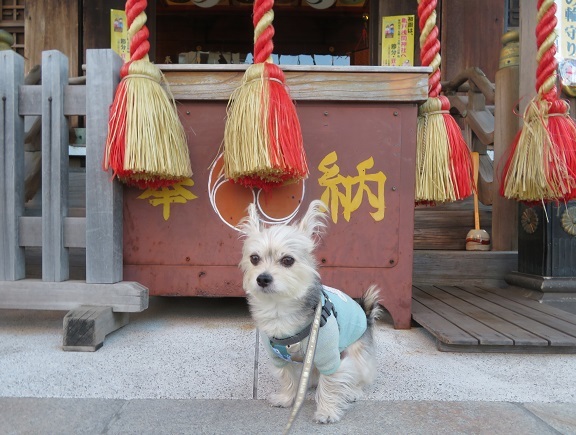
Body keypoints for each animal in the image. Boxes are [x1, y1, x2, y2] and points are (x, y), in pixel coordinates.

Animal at [238, 199, 382, 424]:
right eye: (254, 258)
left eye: (288, 260)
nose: (262, 278)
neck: (279, 309)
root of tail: (366, 316)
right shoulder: (279, 358)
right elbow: (287, 377)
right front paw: (287, 398)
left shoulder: (330, 358)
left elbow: (330, 383)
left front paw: (327, 411)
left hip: (356, 352)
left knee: (359, 374)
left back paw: (352, 391)